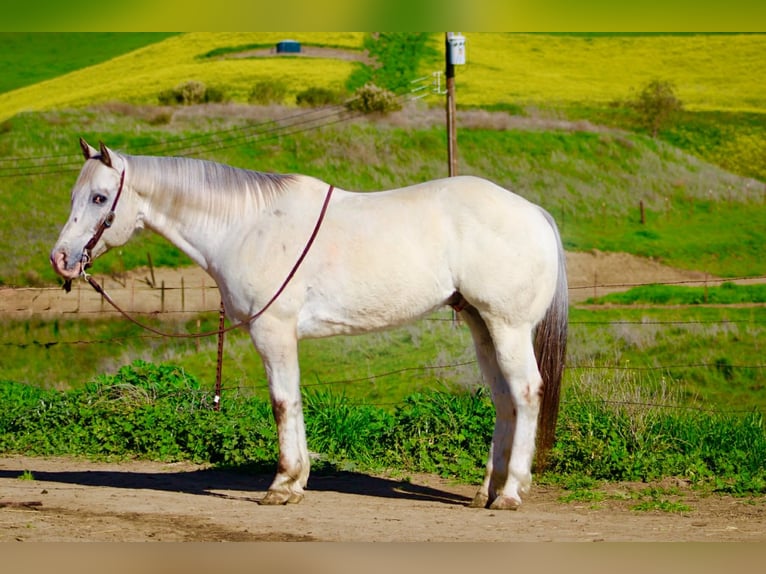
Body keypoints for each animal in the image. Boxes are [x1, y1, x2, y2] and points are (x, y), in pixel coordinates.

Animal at [50, 139, 568, 510]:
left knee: (525, 392)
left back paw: (510, 493)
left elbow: (282, 403)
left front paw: (281, 484)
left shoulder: (273, 331)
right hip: (482, 325)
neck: (247, 224)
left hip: (507, 326)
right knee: (503, 399)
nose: (61, 259)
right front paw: (297, 481)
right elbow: (293, 401)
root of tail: (536, 213)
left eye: (99, 197)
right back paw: (485, 491)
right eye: (73, 195)